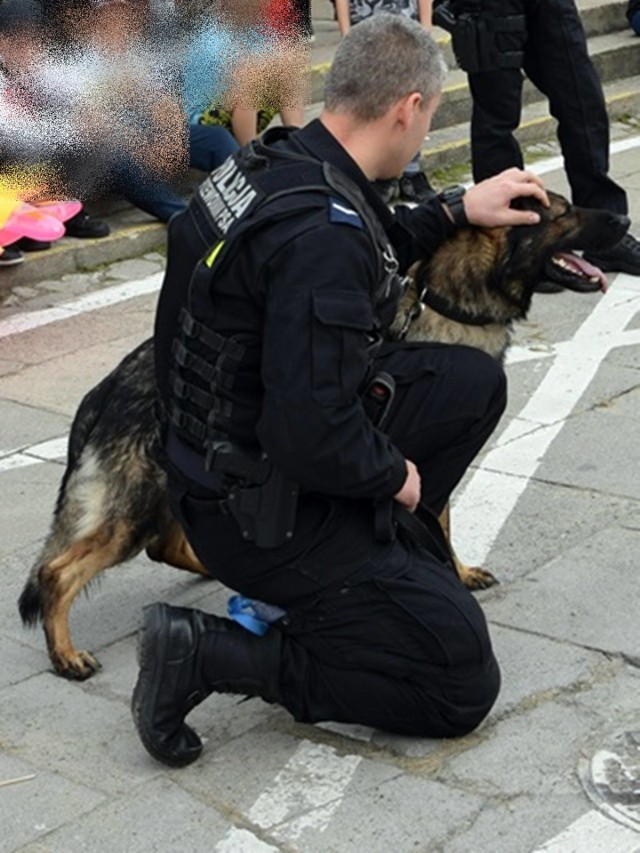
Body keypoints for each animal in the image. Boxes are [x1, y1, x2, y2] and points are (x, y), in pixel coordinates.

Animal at [18, 190, 632, 676]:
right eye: (562, 211)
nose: (625, 221)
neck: (447, 304)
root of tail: (104, 390)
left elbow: (442, 519)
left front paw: (455, 569)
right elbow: (437, 516)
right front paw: (446, 570)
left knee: (165, 546)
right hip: (130, 510)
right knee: (57, 571)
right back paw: (64, 654)